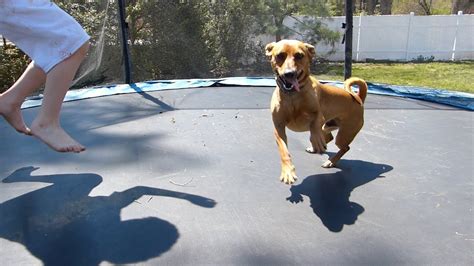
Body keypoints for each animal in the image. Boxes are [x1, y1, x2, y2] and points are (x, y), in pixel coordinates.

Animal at [264, 40, 368, 185]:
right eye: (280, 55)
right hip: (328, 126)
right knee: (329, 137)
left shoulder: (318, 115)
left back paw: (330, 160)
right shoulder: (279, 128)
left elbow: (314, 125)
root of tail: (359, 98)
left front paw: (316, 139)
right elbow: (284, 151)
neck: (293, 96)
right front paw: (288, 172)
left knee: (343, 146)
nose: (290, 73)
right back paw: (316, 148)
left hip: (343, 134)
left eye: (299, 55)